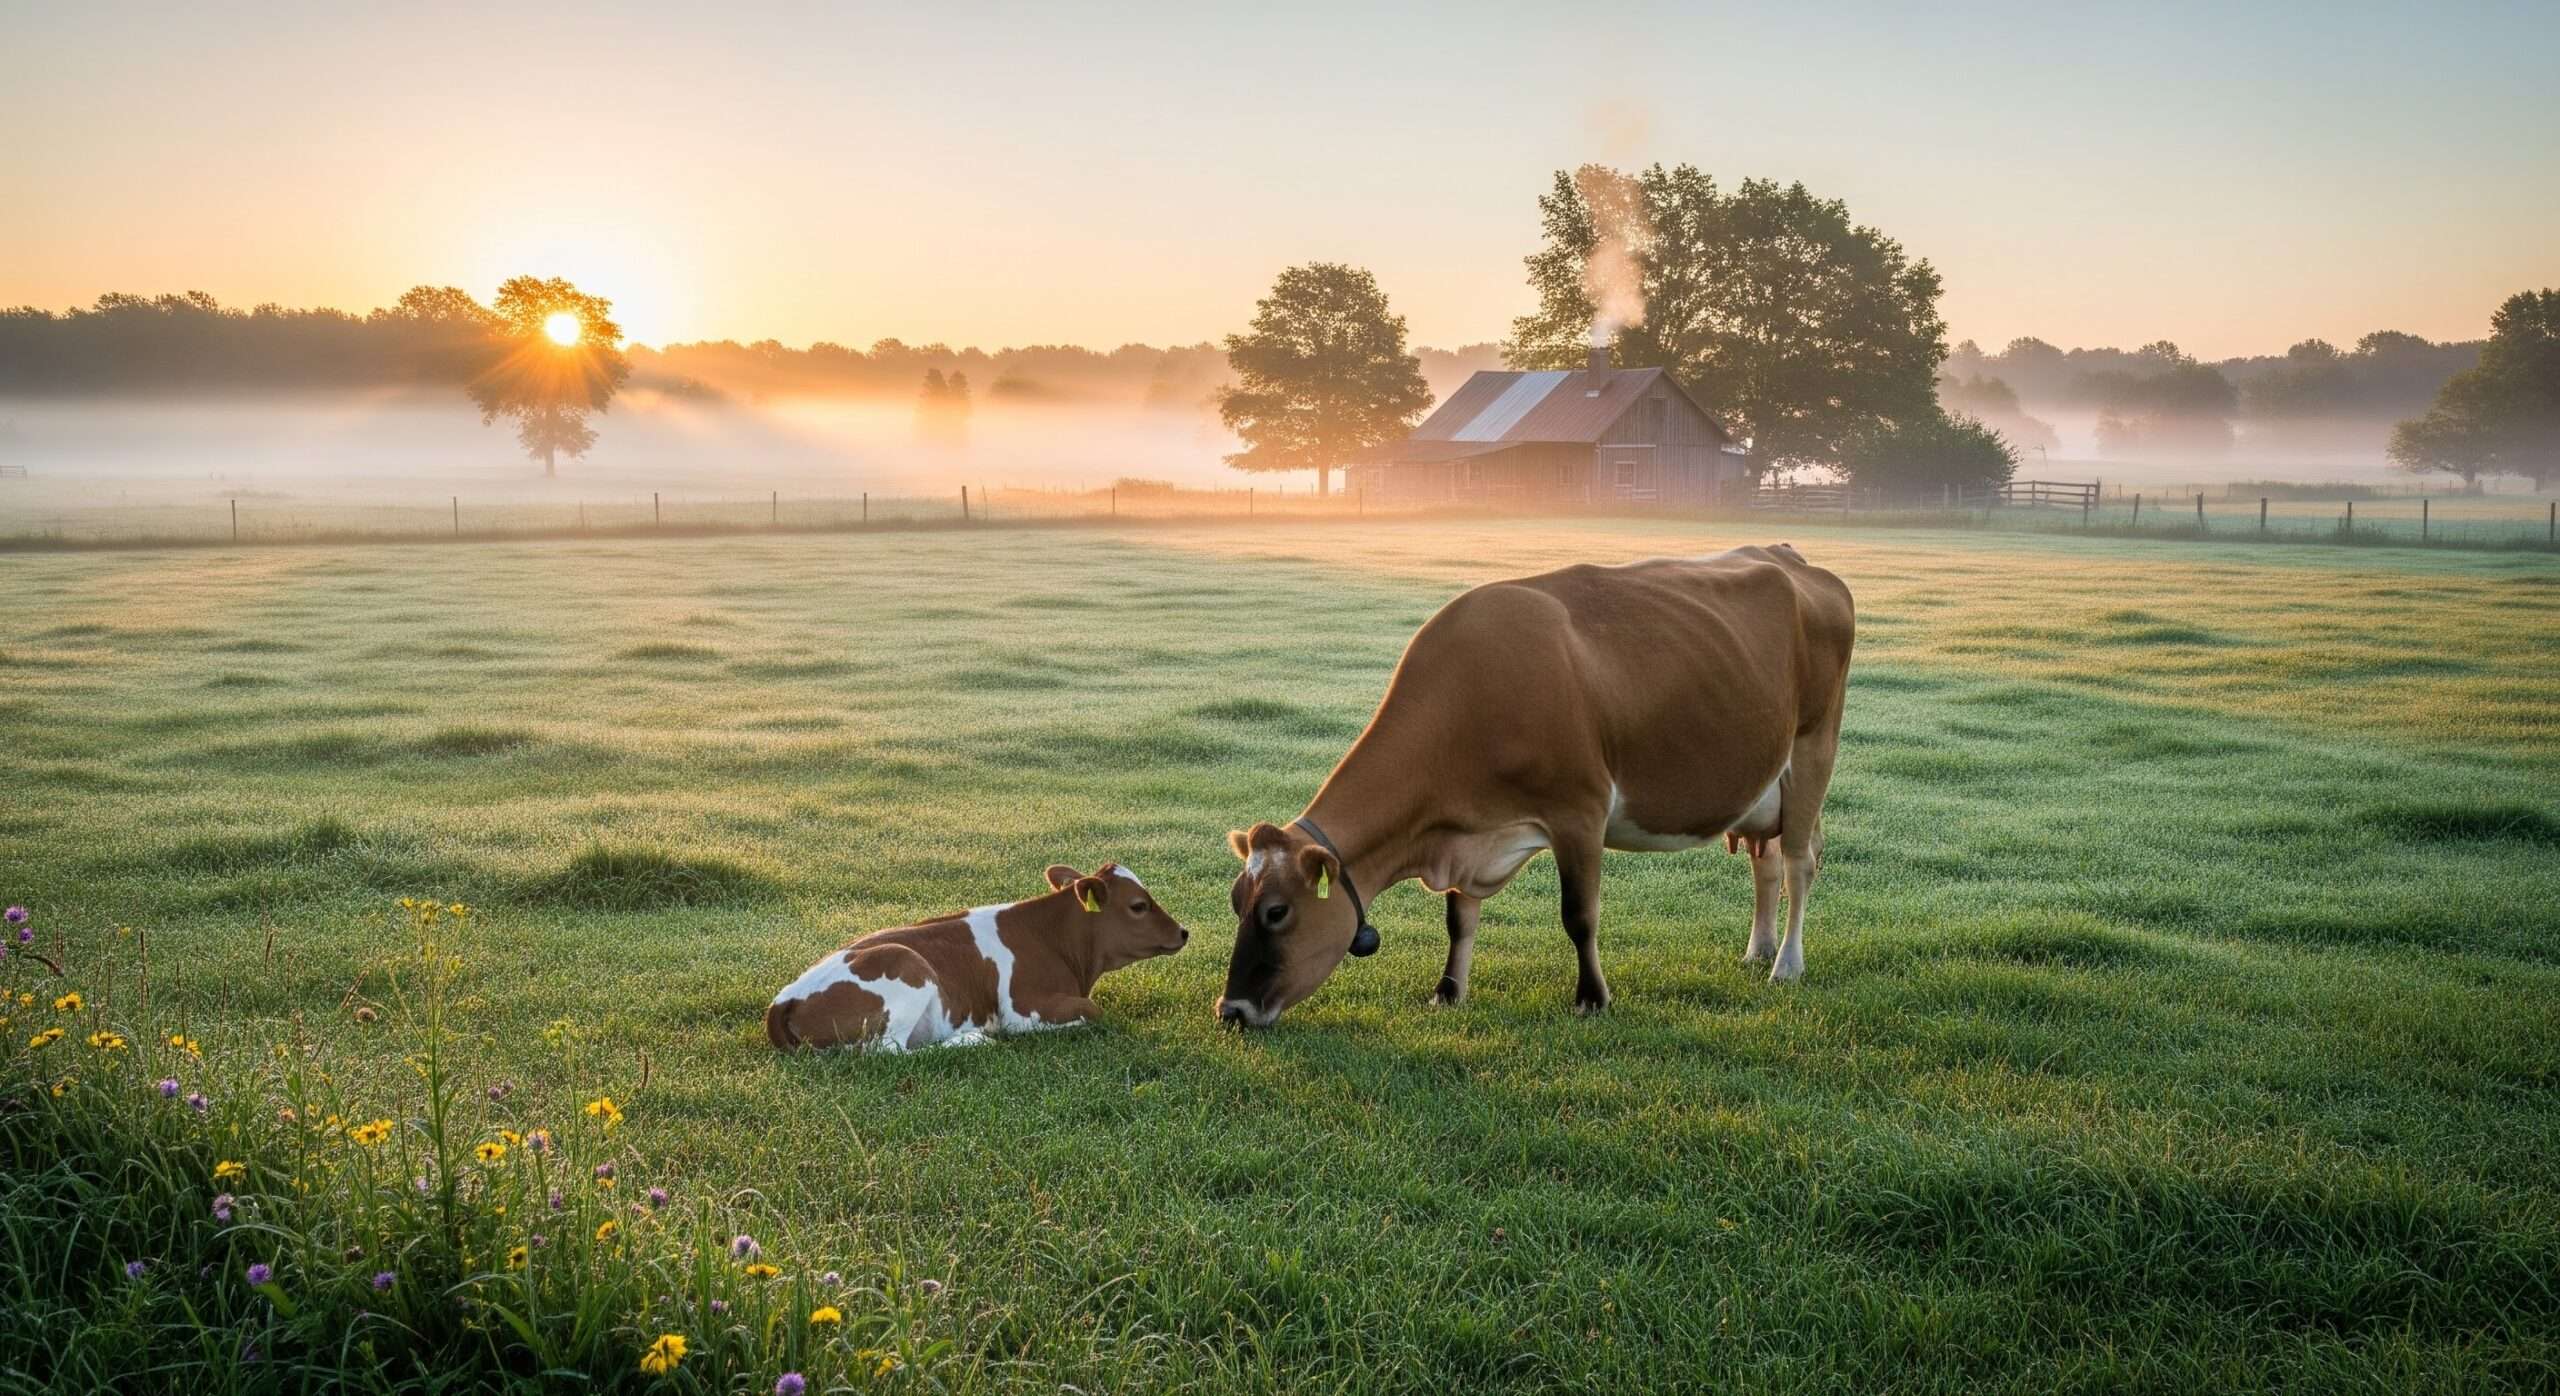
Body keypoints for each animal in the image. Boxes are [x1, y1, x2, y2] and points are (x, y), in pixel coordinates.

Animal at [767, 863, 1188, 1051]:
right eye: (1139, 906)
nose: (1184, 931)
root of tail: (784, 1000)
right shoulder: (1022, 1008)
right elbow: (1093, 1012)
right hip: (906, 965)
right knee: (889, 1050)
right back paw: (971, 1039)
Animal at [1218, 544, 1853, 1028]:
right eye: (1235, 901)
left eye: (1276, 912)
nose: (1232, 1009)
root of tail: (1790, 558)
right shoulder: (1467, 828)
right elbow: (1459, 918)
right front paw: (1448, 991)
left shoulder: (1580, 812)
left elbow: (1579, 915)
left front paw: (1592, 998)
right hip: (1761, 784)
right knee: (1766, 862)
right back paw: (1757, 951)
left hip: (1813, 749)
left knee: (1798, 861)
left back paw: (1786, 965)